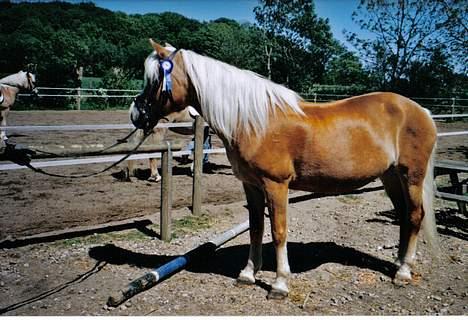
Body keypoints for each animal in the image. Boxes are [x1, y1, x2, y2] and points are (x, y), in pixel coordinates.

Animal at [129, 40, 438, 300]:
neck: (254, 121)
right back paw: (398, 262)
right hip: (391, 177)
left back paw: (403, 271)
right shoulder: (251, 185)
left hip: (411, 175)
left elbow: (278, 231)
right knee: (404, 216)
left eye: (155, 80)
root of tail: (421, 110)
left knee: (414, 215)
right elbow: (256, 228)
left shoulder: (276, 184)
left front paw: (279, 284)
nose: (136, 114)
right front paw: (247, 274)